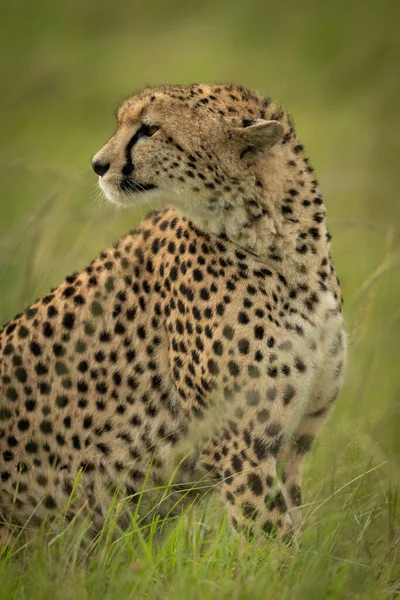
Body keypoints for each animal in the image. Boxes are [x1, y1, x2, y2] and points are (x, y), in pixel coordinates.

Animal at [0, 85, 346, 544]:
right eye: (126, 124)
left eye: (149, 129)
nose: (97, 164)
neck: (287, 249)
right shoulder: (238, 447)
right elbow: (268, 541)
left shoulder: (292, 443)